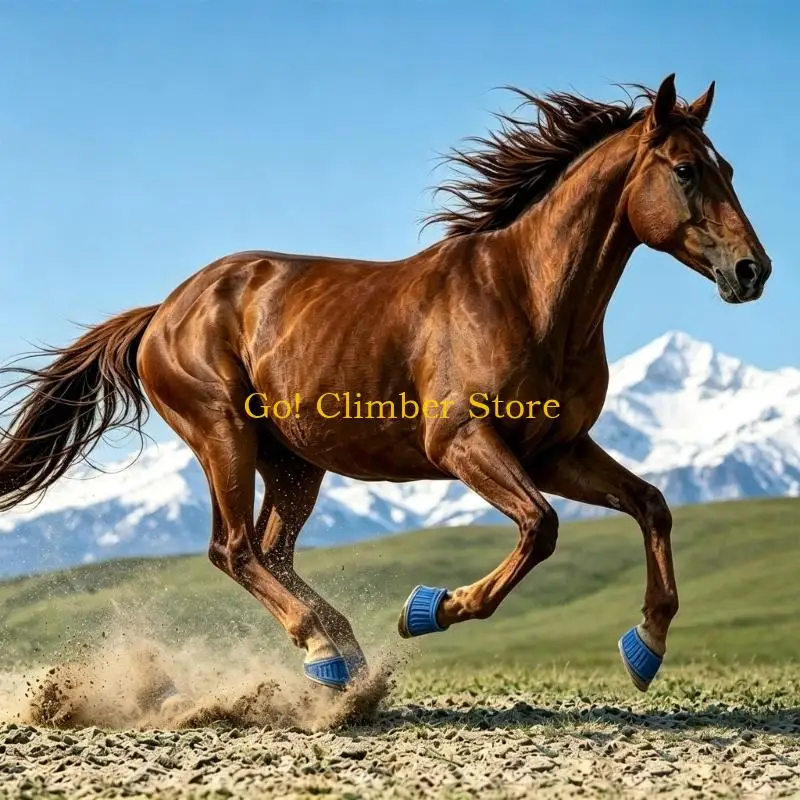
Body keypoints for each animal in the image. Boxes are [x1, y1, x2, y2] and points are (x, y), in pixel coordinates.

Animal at [0, 74, 771, 696]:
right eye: (685, 170)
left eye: (727, 167)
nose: (752, 271)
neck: (528, 295)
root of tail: (161, 313)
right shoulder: (462, 443)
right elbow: (540, 526)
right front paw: (427, 610)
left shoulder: (557, 450)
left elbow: (651, 505)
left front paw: (647, 646)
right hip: (223, 434)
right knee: (235, 549)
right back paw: (323, 651)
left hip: (293, 463)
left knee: (272, 551)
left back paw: (342, 651)